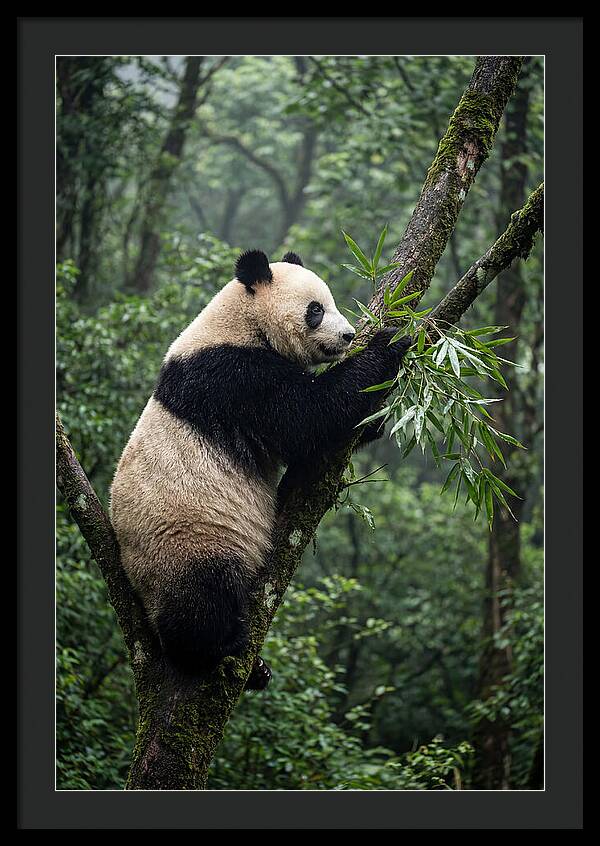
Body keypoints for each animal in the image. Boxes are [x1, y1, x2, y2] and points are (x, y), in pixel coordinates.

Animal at [110, 250, 410, 690]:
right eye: (316, 310)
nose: (348, 336)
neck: (241, 322)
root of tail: (137, 586)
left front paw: (375, 418)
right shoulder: (232, 377)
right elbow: (308, 417)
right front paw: (389, 342)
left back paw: (257, 669)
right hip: (186, 539)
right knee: (202, 598)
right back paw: (219, 647)